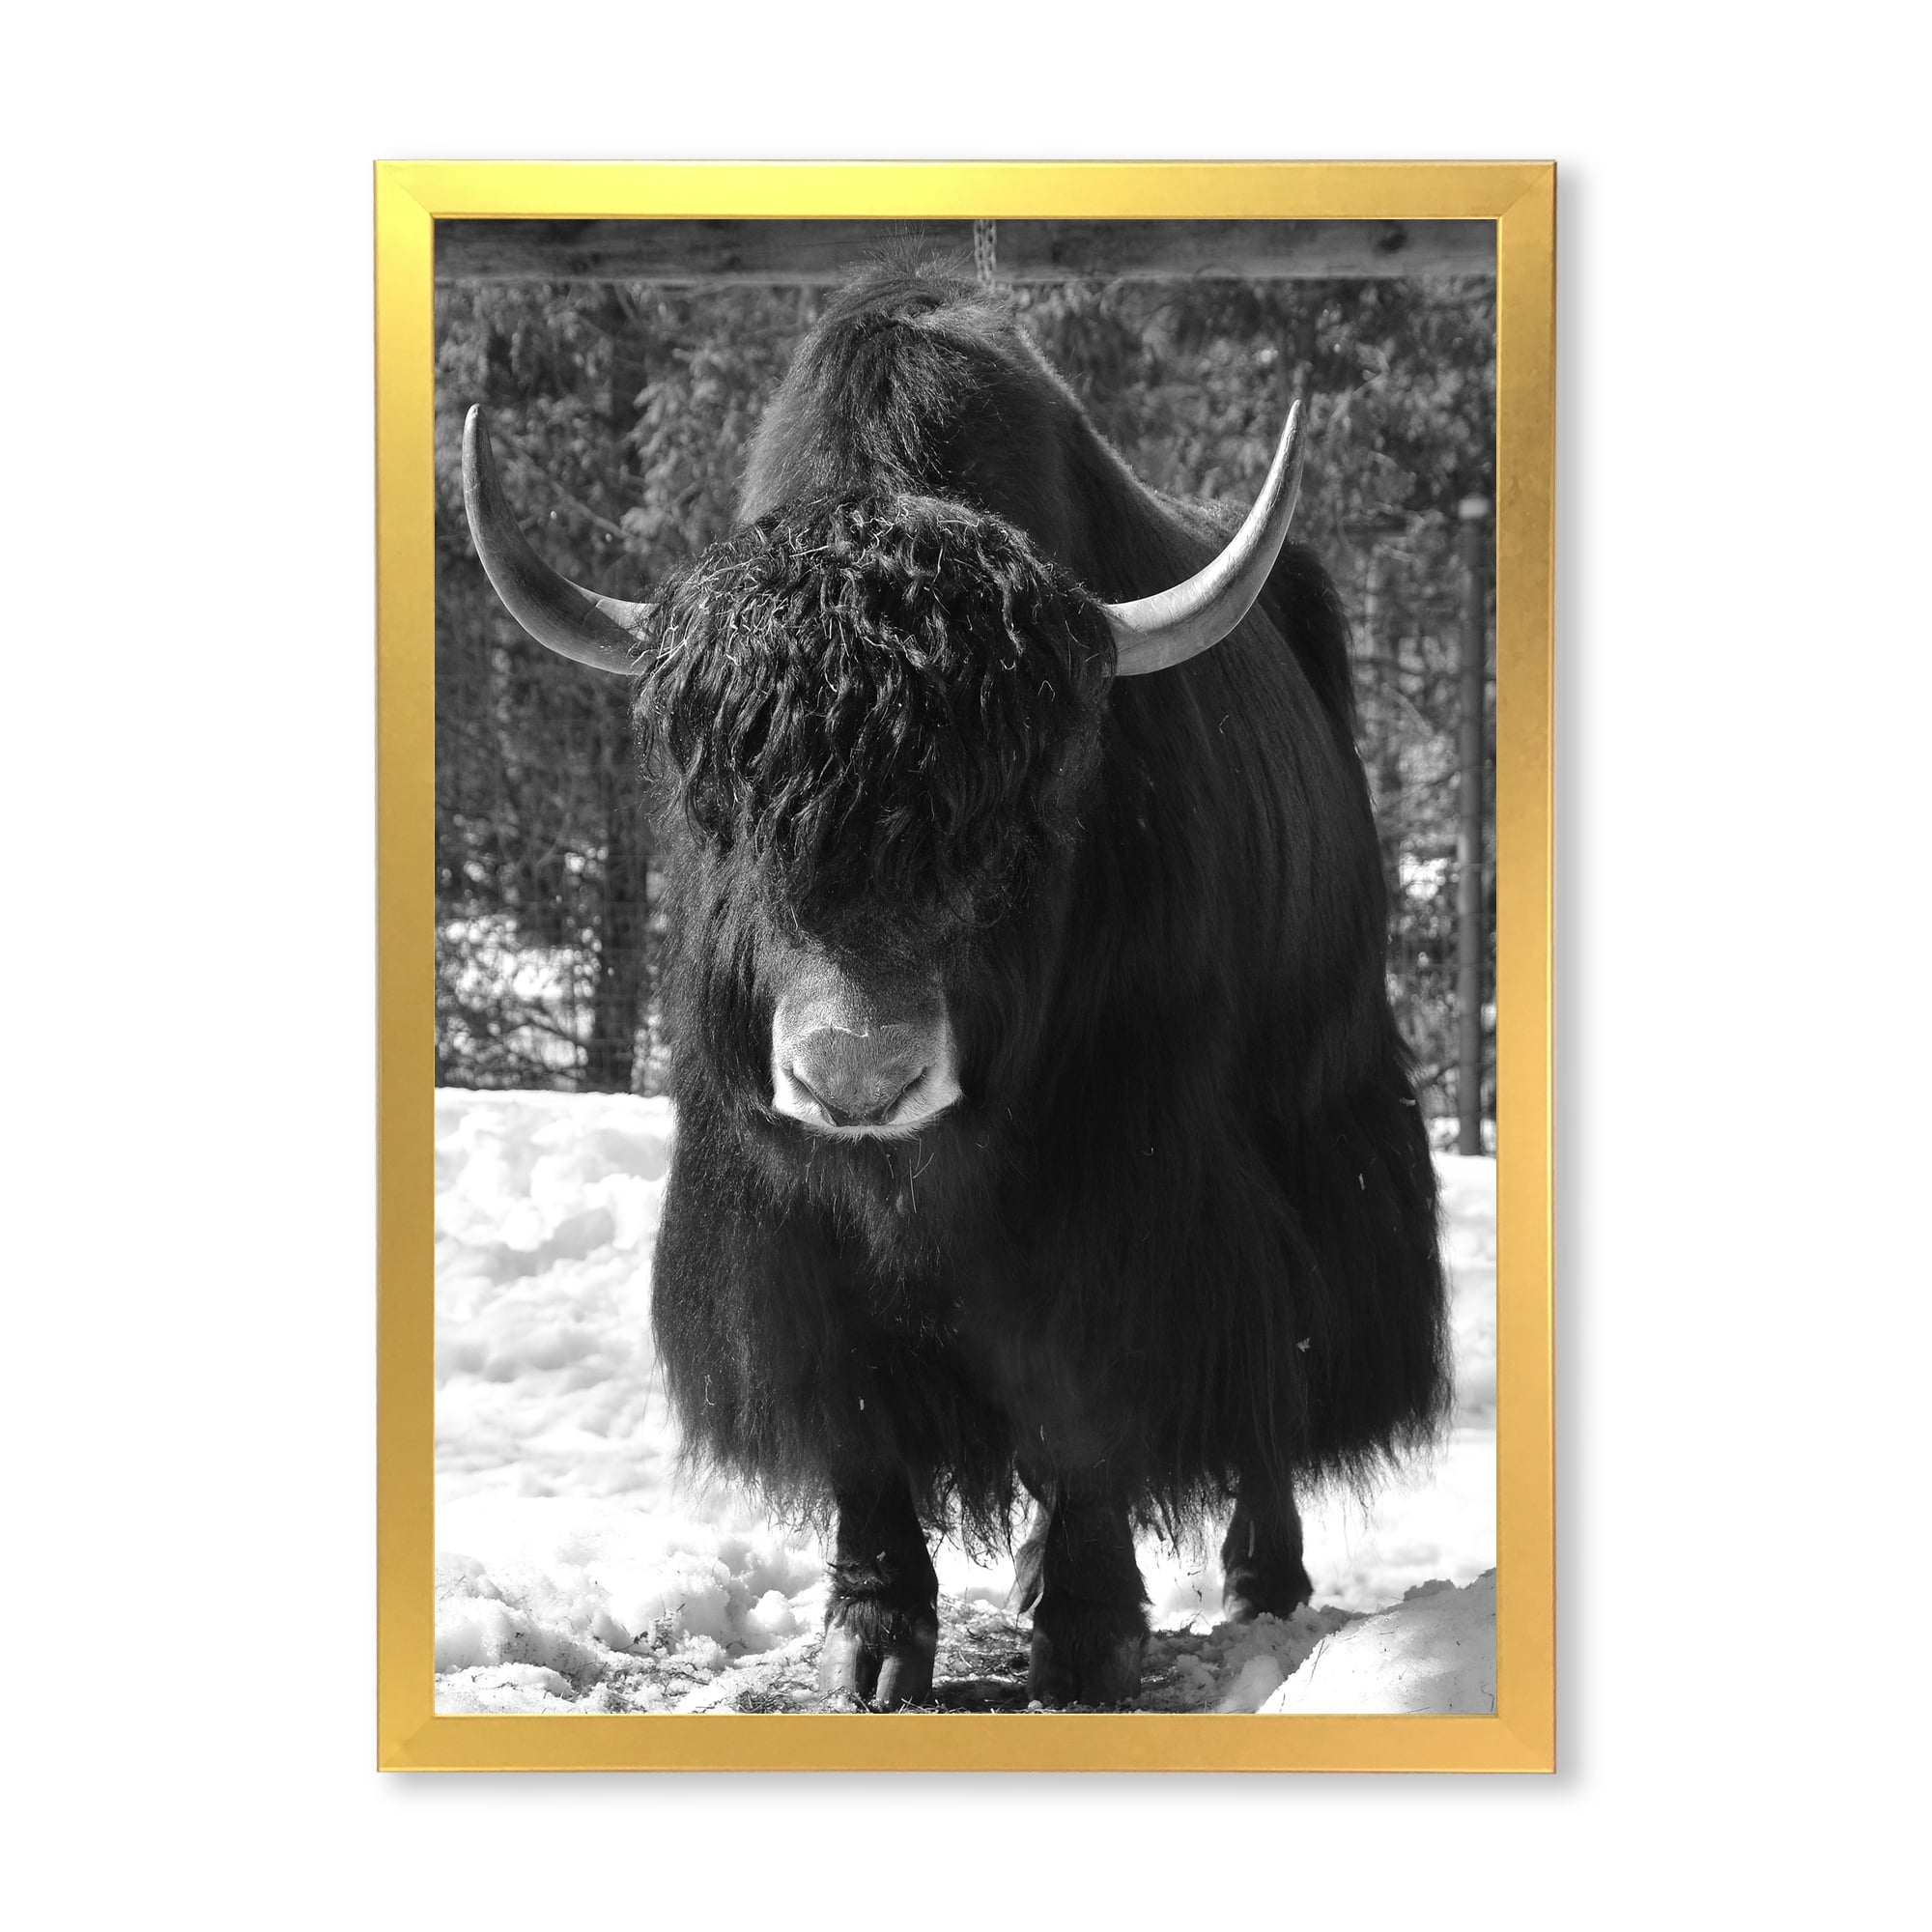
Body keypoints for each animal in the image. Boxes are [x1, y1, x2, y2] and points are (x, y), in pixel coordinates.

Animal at [461, 266, 1450, 1709]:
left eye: (1021, 814)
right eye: (723, 806)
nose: (856, 1078)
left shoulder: (1125, 1187)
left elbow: (1090, 1393)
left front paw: (1086, 1640)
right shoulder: (777, 1217)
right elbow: (855, 1410)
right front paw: (873, 1640)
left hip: (1317, 1118)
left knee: (1277, 1364)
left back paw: (1260, 1580)